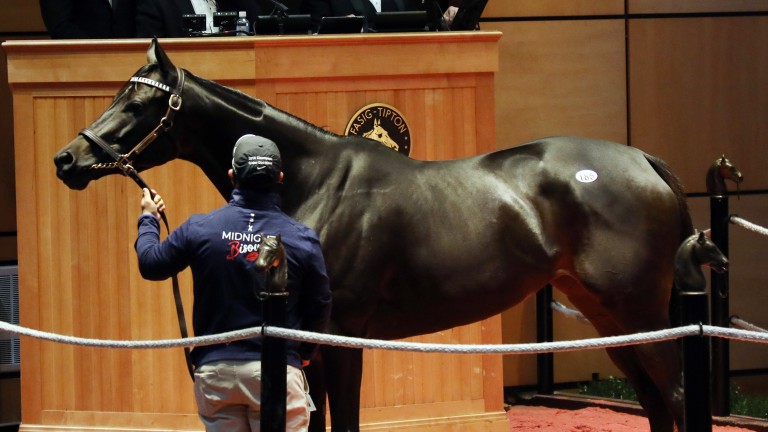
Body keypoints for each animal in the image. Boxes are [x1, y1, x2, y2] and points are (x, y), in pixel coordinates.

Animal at [52, 38, 688, 430]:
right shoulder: (307, 342)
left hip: (639, 314)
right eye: (119, 93)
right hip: (614, 323)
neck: (310, 180)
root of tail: (645, 160)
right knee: (657, 402)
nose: (66, 159)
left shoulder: (340, 336)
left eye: (138, 102)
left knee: (677, 396)